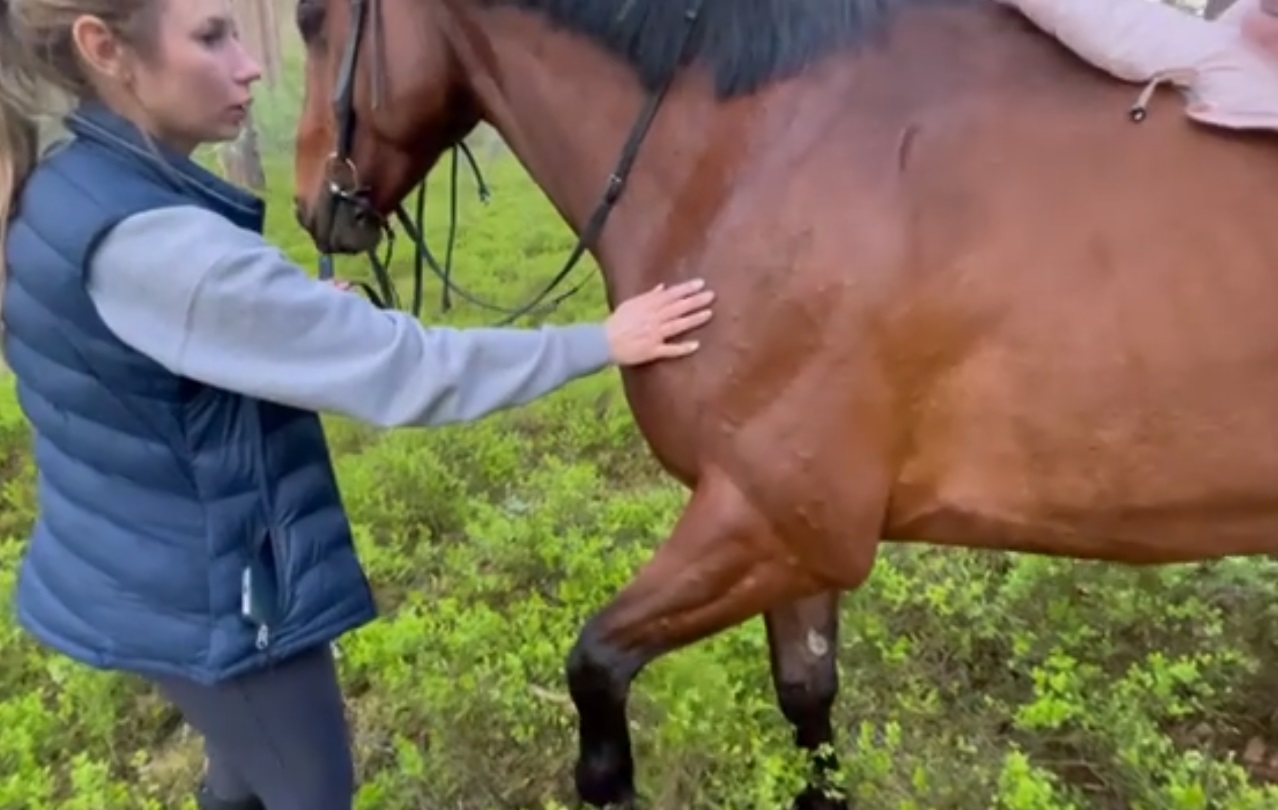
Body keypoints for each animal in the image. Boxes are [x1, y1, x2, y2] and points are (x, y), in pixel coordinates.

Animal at [290, 0, 1278, 806]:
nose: (311, 207)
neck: (753, 148)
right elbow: (807, 700)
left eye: (309, 18)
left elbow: (596, 672)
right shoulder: (791, 544)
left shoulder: (773, 518)